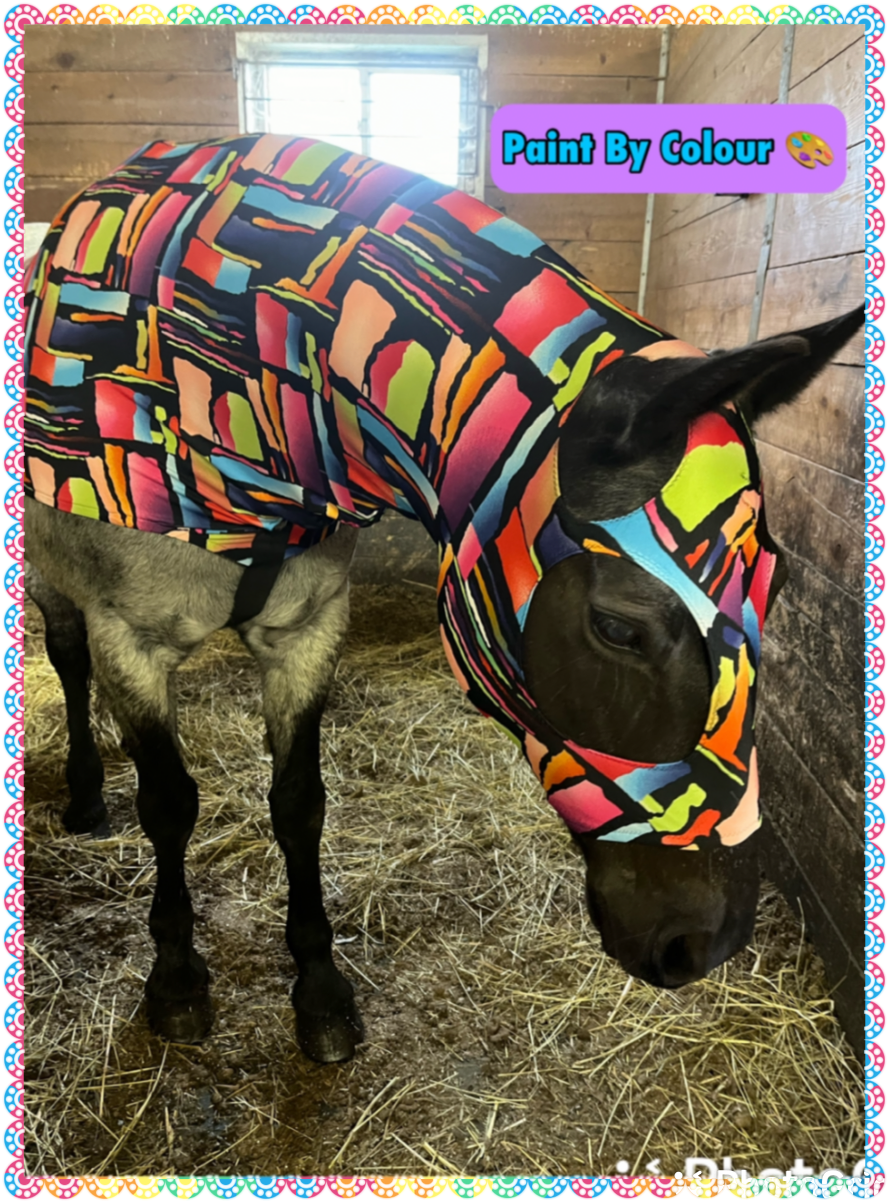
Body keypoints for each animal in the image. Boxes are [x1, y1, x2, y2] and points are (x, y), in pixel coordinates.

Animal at [21, 132, 865, 1064]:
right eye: (616, 627)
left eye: (773, 590)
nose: (704, 941)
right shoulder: (129, 639)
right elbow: (168, 804)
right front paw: (174, 979)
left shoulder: (306, 631)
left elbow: (299, 805)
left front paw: (319, 988)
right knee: (68, 660)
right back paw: (86, 793)